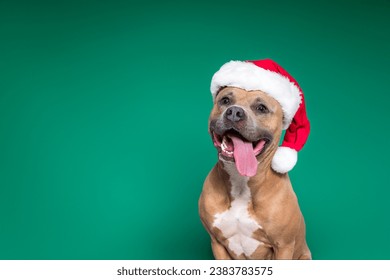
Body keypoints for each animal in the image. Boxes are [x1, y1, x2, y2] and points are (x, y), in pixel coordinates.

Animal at [198, 84, 310, 260]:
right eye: (225, 100)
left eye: (261, 108)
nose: (234, 112)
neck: (241, 183)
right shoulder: (217, 243)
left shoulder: (283, 246)